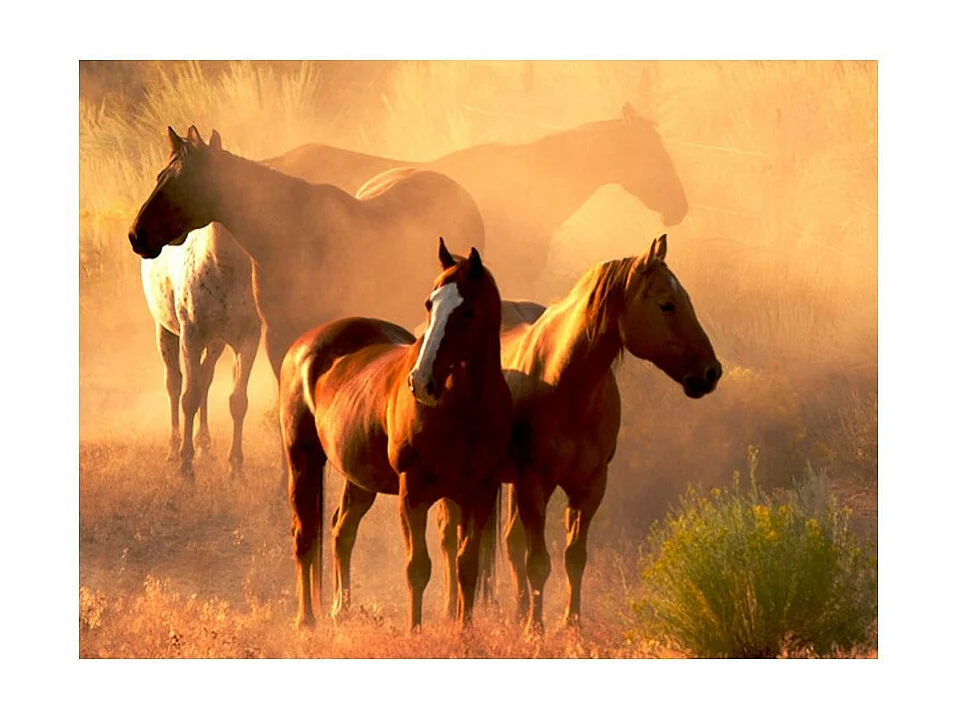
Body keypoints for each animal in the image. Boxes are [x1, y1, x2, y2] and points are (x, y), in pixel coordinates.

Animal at [128, 126, 486, 385]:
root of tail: (462, 193)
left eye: (179, 183)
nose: (136, 235)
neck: (289, 238)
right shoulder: (276, 340)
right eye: (160, 177)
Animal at [140, 221, 261, 480]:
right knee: (174, 384)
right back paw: (173, 447)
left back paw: (204, 443)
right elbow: (189, 398)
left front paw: (235, 466)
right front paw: (186, 465)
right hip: (165, 332)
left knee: (205, 380)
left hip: (215, 344)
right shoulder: (191, 338)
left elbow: (238, 401)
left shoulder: (248, 340)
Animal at [278, 239, 511, 631]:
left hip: (359, 479)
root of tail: (303, 347)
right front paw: (414, 632)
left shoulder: (478, 493)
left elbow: (466, 565)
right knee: (304, 535)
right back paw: (305, 620)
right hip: (302, 459)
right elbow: (418, 567)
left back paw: (341, 608)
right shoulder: (412, 493)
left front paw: (463, 631)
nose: (421, 382)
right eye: (430, 303)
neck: (463, 407)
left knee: (341, 530)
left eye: (467, 311)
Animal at [435, 234, 722, 632]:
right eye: (667, 304)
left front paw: (570, 626)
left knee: (510, 543)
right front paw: (535, 631)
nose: (711, 372)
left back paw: (518, 612)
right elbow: (538, 561)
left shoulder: (589, 486)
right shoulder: (535, 483)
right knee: (451, 540)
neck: (566, 383)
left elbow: (574, 557)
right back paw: (452, 611)